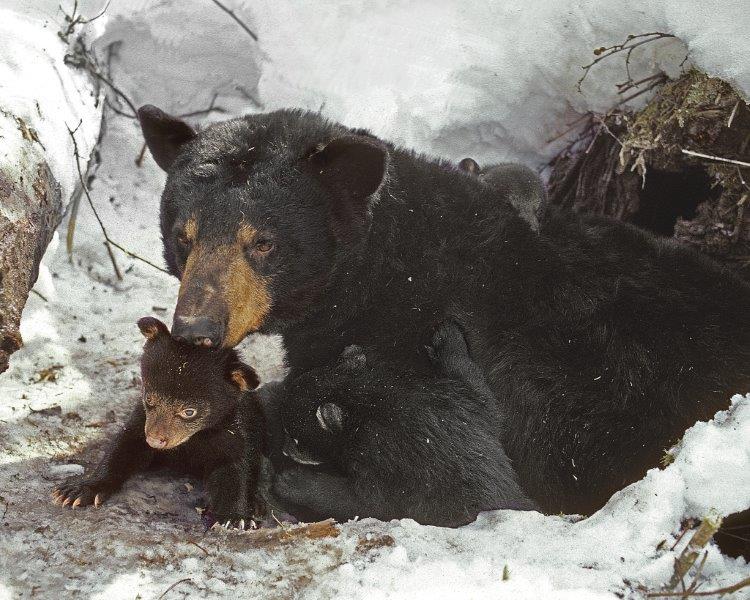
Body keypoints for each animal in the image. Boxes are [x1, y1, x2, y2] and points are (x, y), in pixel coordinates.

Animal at [52, 317, 265, 527]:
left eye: (189, 412)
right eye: (149, 398)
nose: (155, 440)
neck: (193, 438)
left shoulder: (234, 427)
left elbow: (235, 466)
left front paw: (233, 517)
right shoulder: (142, 418)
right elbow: (124, 447)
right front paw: (78, 491)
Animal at [272, 320, 537, 526]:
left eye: (294, 436)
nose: (284, 450)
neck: (370, 397)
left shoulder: (383, 456)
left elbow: (368, 500)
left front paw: (293, 482)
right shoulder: (463, 404)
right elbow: (482, 395)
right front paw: (446, 338)